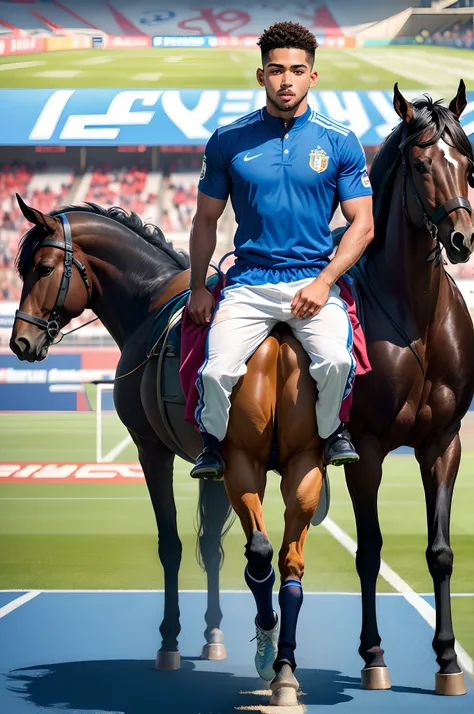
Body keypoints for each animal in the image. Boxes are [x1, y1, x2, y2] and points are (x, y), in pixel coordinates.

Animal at [7, 82, 474, 700]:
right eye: (422, 165)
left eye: (467, 161)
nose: (22, 341)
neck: (413, 315)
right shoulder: (362, 448)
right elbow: (365, 550)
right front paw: (373, 655)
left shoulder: (443, 442)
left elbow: (439, 552)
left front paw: (445, 659)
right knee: (210, 543)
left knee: (212, 543)